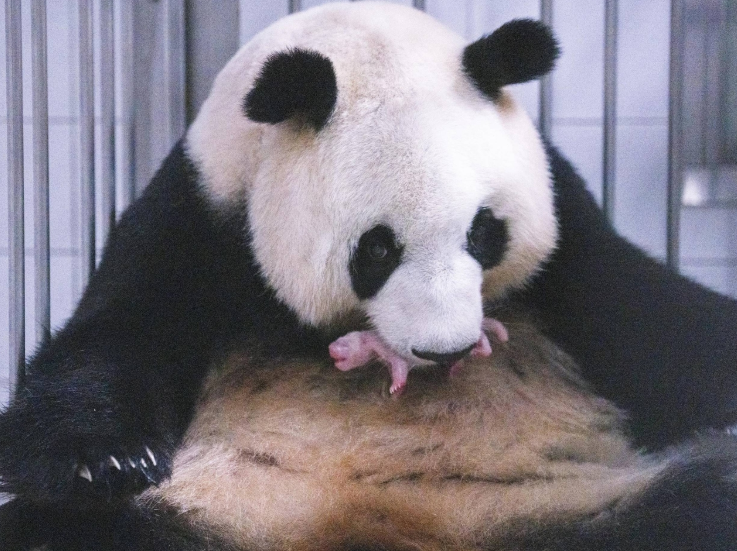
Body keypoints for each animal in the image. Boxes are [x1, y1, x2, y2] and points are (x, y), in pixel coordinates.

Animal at [2, 2, 737, 550]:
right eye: (376, 250)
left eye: (483, 233)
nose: (446, 349)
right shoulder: (201, 210)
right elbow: (118, 332)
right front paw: (105, 458)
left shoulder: (568, 229)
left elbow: (654, 317)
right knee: (54, 527)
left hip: (575, 504)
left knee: (703, 501)